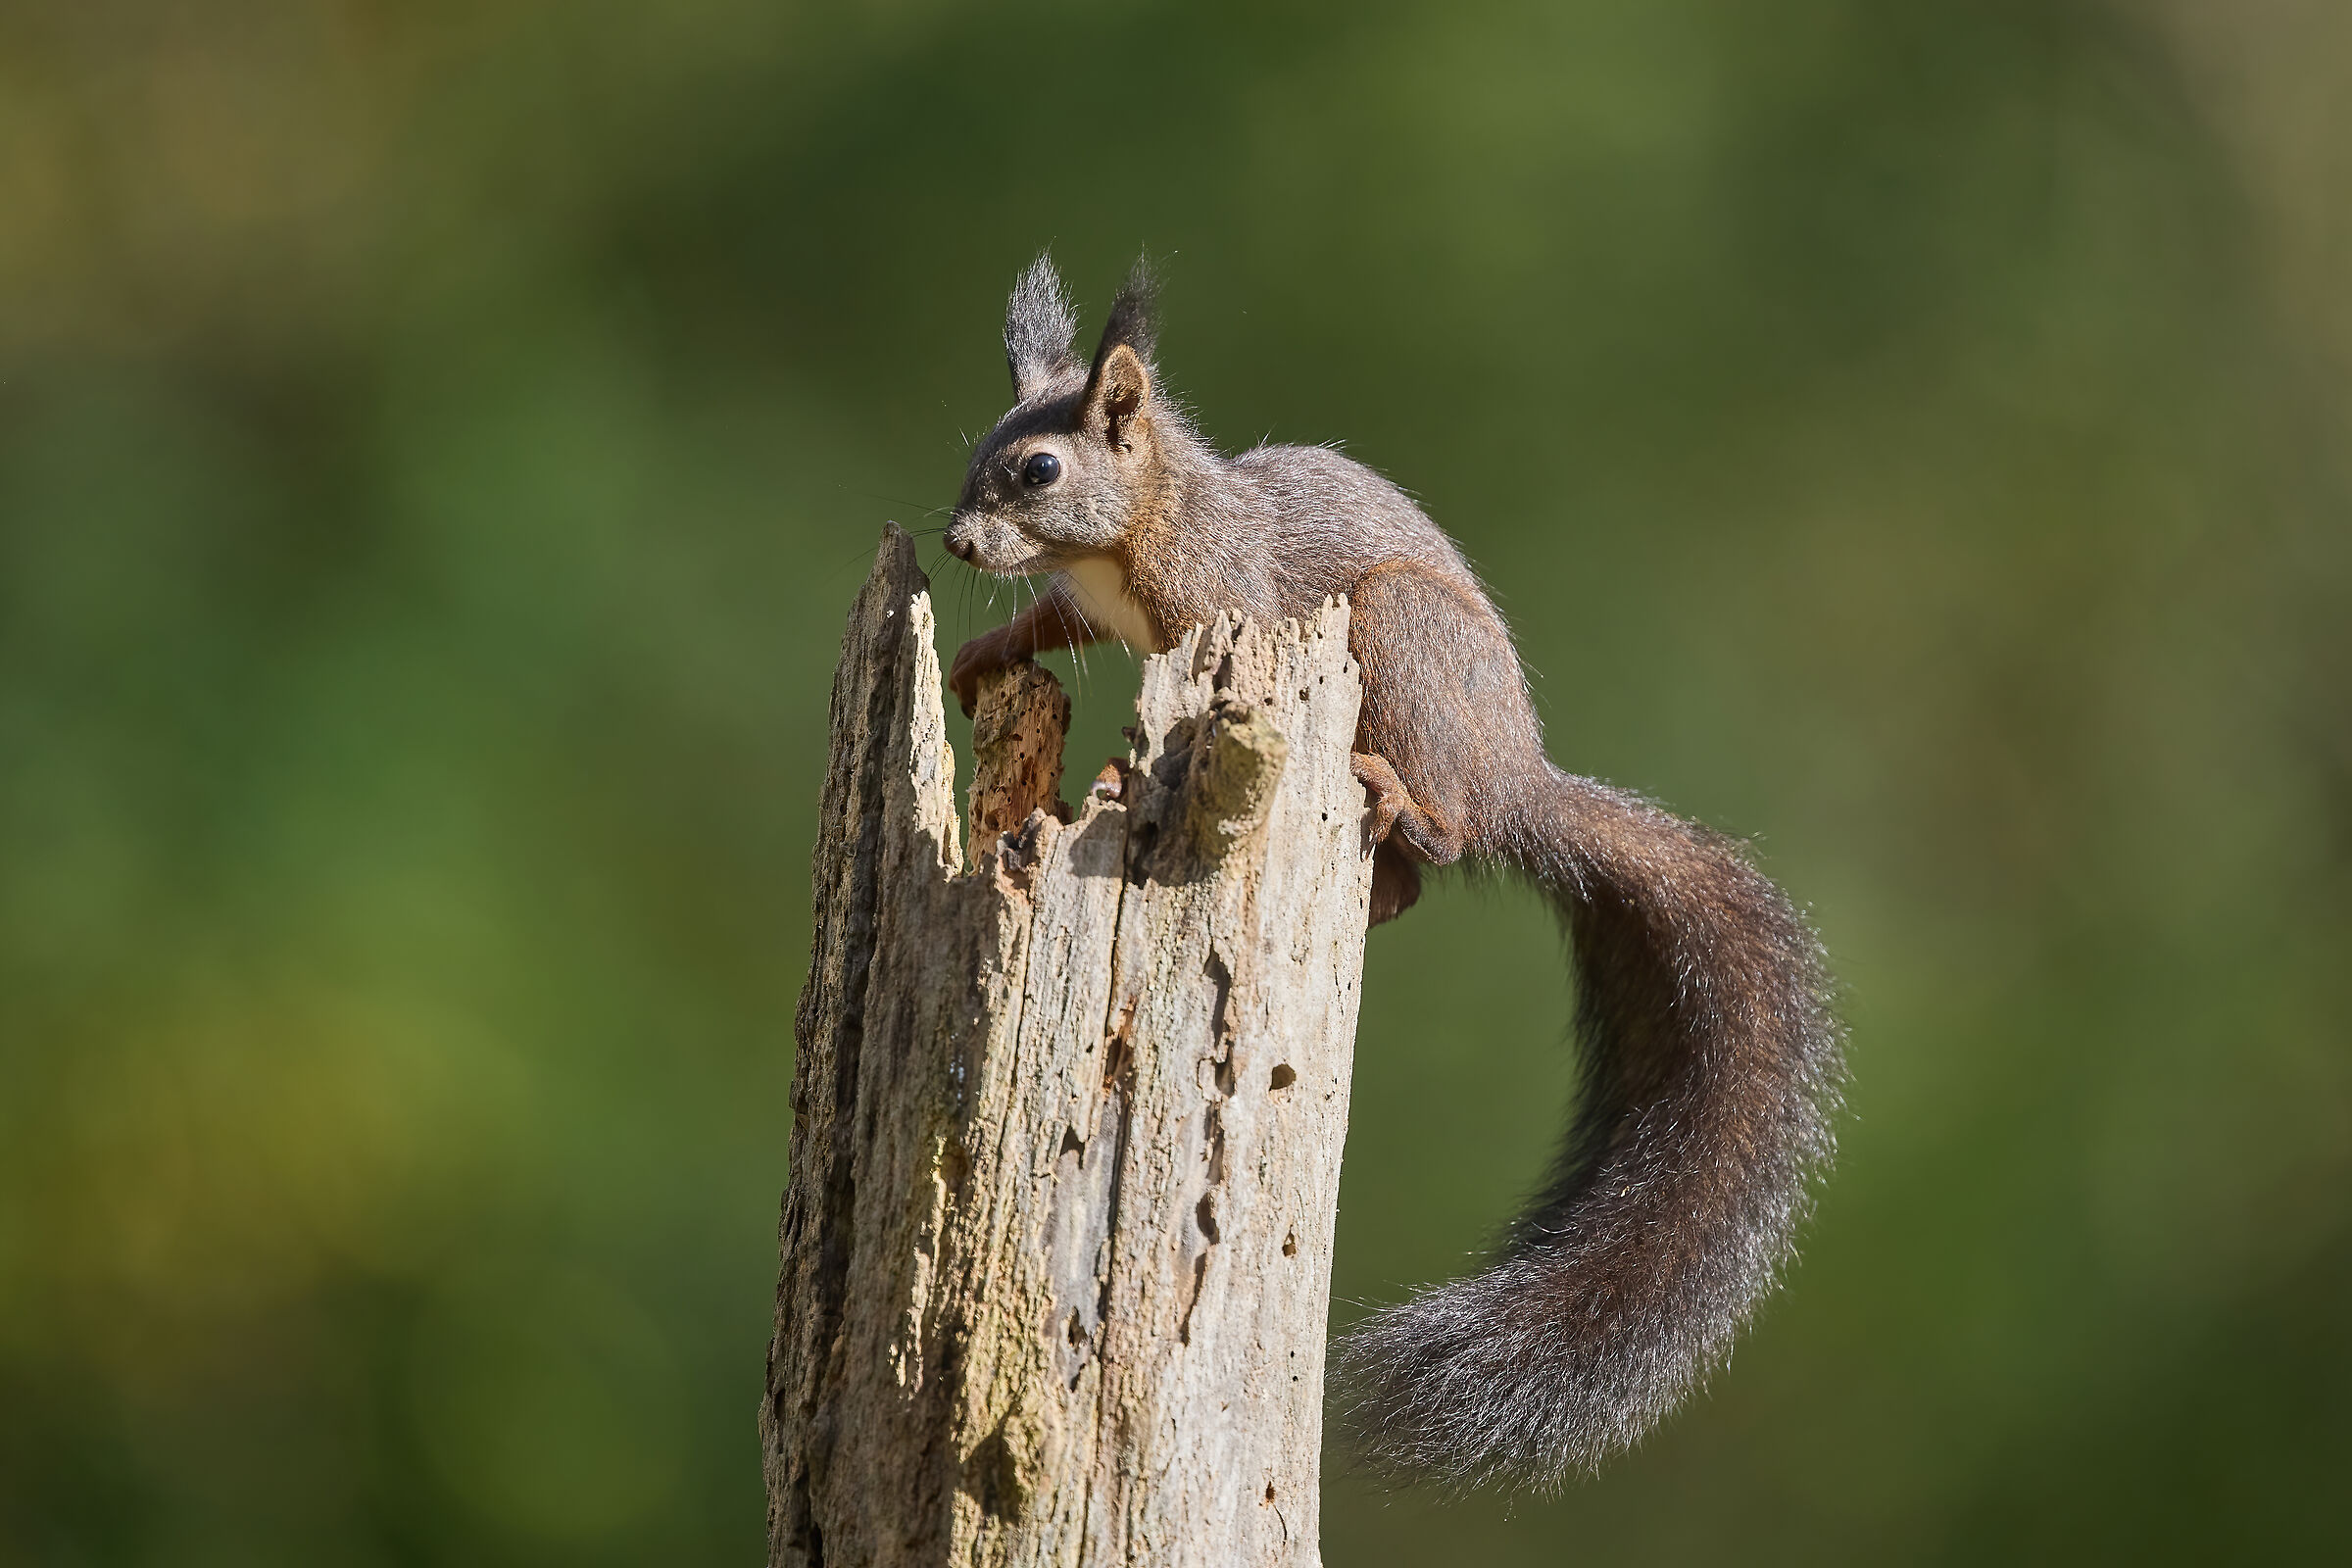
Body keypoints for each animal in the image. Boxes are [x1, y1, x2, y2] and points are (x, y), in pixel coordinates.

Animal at [943, 256, 1843, 1488]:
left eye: (1039, 469)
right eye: (980, 447)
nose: (955, 542)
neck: (1144, 523)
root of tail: (1521, 784)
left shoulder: (1231, 604)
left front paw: (1133, 769)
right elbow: (1053, 624)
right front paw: (984, 651)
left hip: (1401, 643)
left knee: (1448, 837)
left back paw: (1406, 799)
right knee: (1414, 884)